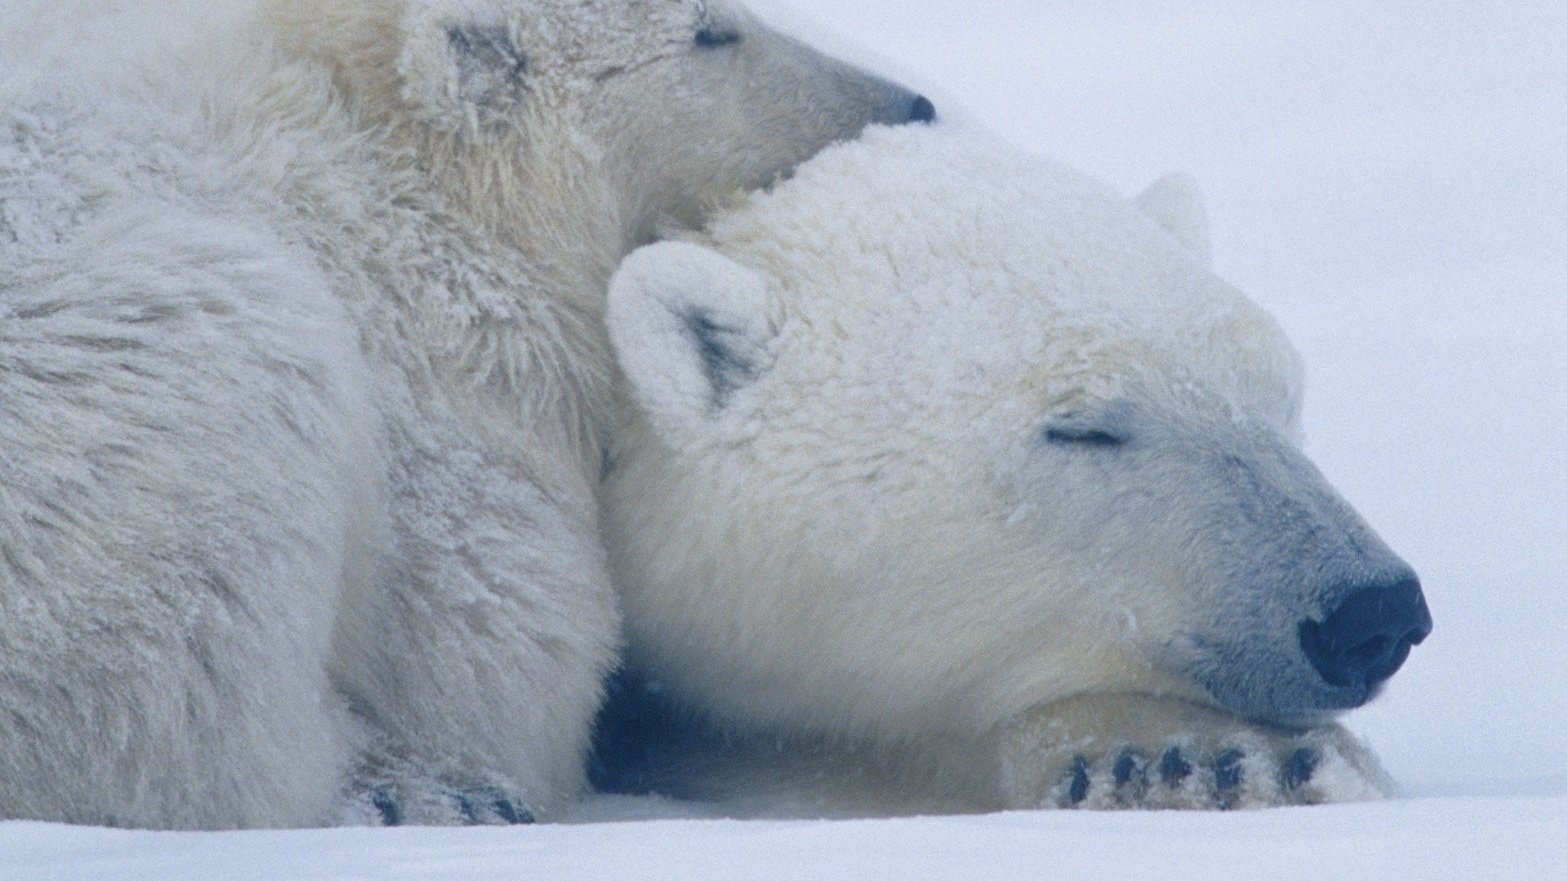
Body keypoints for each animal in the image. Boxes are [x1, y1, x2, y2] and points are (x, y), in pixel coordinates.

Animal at [0, 0, 932, 829]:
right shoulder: (432, 339)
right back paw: (413, 787)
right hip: (139, 379)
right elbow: (492, 616)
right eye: (710, 32)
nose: (911, 105)